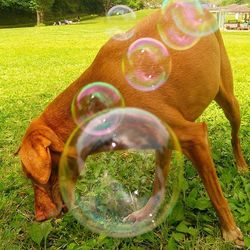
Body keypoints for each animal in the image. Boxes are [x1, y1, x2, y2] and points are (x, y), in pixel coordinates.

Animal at [18, 9, 248, 246]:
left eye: (37, 177)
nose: (39, 218)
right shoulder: (162, 140)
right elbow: (158, 185)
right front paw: (145, 214)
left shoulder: (194, 136)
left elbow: (216, 195)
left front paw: (230, 230)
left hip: (228, 98)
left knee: (234, 134)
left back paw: (241, 165)